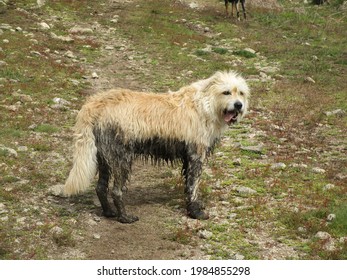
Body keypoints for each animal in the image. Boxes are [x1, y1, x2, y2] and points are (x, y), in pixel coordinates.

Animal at [64, 71, 250, 223]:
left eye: (240, 92)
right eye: (226, 92)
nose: (238, 105)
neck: (206, 104)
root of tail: (95, 104)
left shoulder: (188, 158)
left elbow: (188, 185)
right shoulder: (196, 156)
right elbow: (193, 187)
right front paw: (195, 212)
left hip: (104, 158)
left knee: (101, 187)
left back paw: (109, 212)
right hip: (122, 159)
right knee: (116, 191)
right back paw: (125, 217)